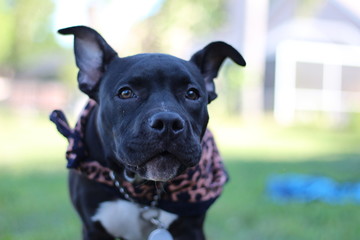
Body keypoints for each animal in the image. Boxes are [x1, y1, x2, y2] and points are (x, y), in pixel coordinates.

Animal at [50, 26, 245, 240]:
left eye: (192, 94)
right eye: (126, 93)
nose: (168, 122)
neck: (141, 191)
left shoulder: (191, 229)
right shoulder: (93, 230)